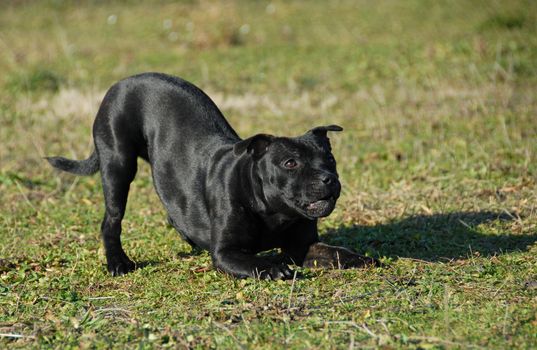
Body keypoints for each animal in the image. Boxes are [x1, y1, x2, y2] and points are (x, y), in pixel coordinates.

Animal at [48, 73, 378, 278]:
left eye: (330, 159)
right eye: (290, 163)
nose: (328, 179)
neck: (272, 211)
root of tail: (122, 83)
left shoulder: (301, 246)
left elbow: (334, 252)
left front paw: (359, 257)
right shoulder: (226, 253)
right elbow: (254, 261)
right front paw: (271, 268)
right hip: (118, 165)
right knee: (111, 220)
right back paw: (118, 262)